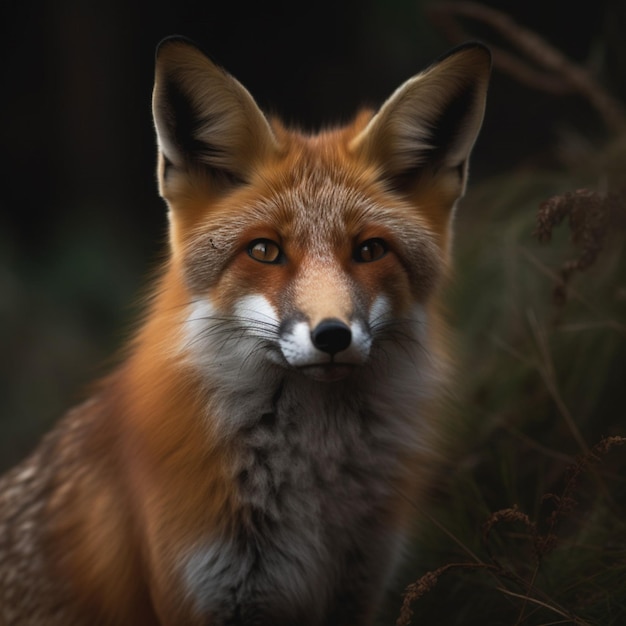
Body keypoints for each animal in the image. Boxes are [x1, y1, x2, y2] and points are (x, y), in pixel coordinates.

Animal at [0, 37, 488, 624]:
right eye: (264, 251)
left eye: (370, 250)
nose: (332, 336)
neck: (316, 497)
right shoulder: (211, 593)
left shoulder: (357, 588)